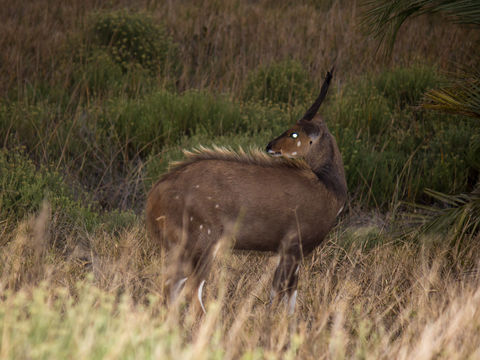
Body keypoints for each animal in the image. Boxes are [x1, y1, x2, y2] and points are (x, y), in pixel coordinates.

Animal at [146, 68, 344, 316]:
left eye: (294, 134)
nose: (270, 146)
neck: (329, 187)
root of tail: (155, 196)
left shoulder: (287, 252)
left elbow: (282, 295)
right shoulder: (293, 248)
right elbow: (283, 295)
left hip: (179, 248)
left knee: (169, 288)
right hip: (203, 242)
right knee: (190, 290)